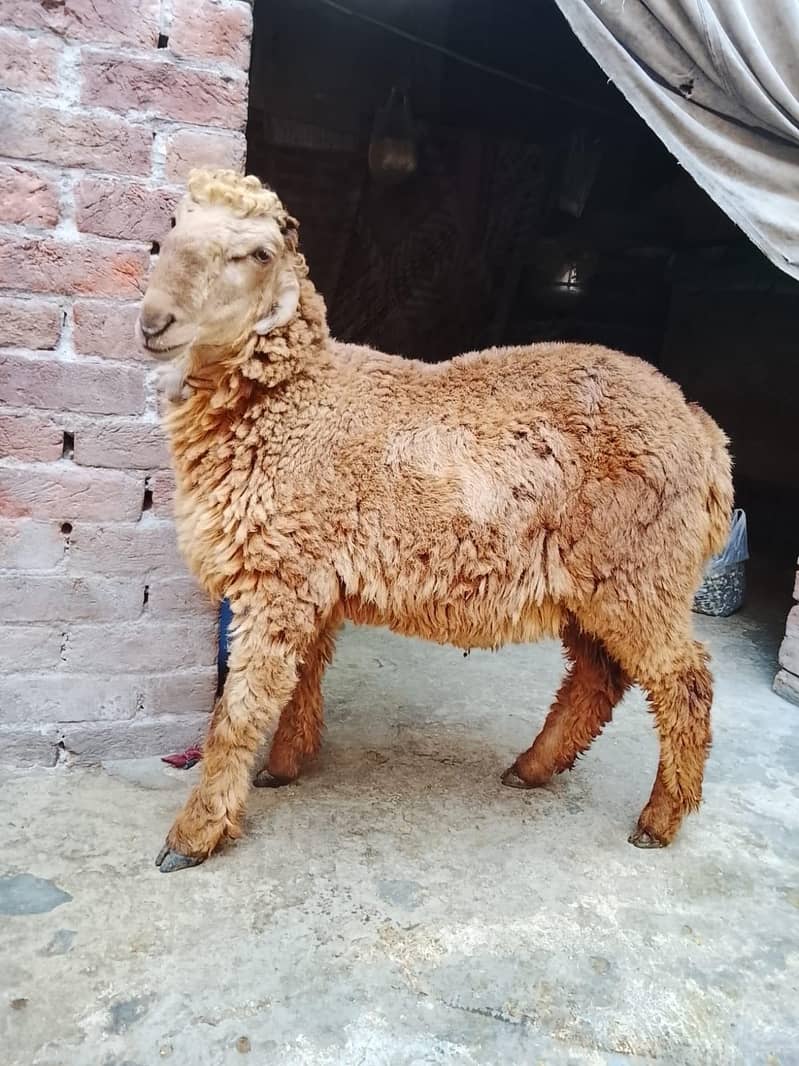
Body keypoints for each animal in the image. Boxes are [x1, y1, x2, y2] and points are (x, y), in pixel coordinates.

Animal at [138, 169, 733, 872]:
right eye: (174, 224)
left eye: (258, 254)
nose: (154, 321)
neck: (297, 400)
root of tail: (704, 430)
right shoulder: (311, 576)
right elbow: (304, 675)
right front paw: (285, 766)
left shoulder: (279, 576)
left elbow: (239, 710)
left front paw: (194, 833)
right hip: (593, 582)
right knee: (598, 677)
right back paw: (532, 768)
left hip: (642, 570)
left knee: (684, 682)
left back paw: (660, 819)